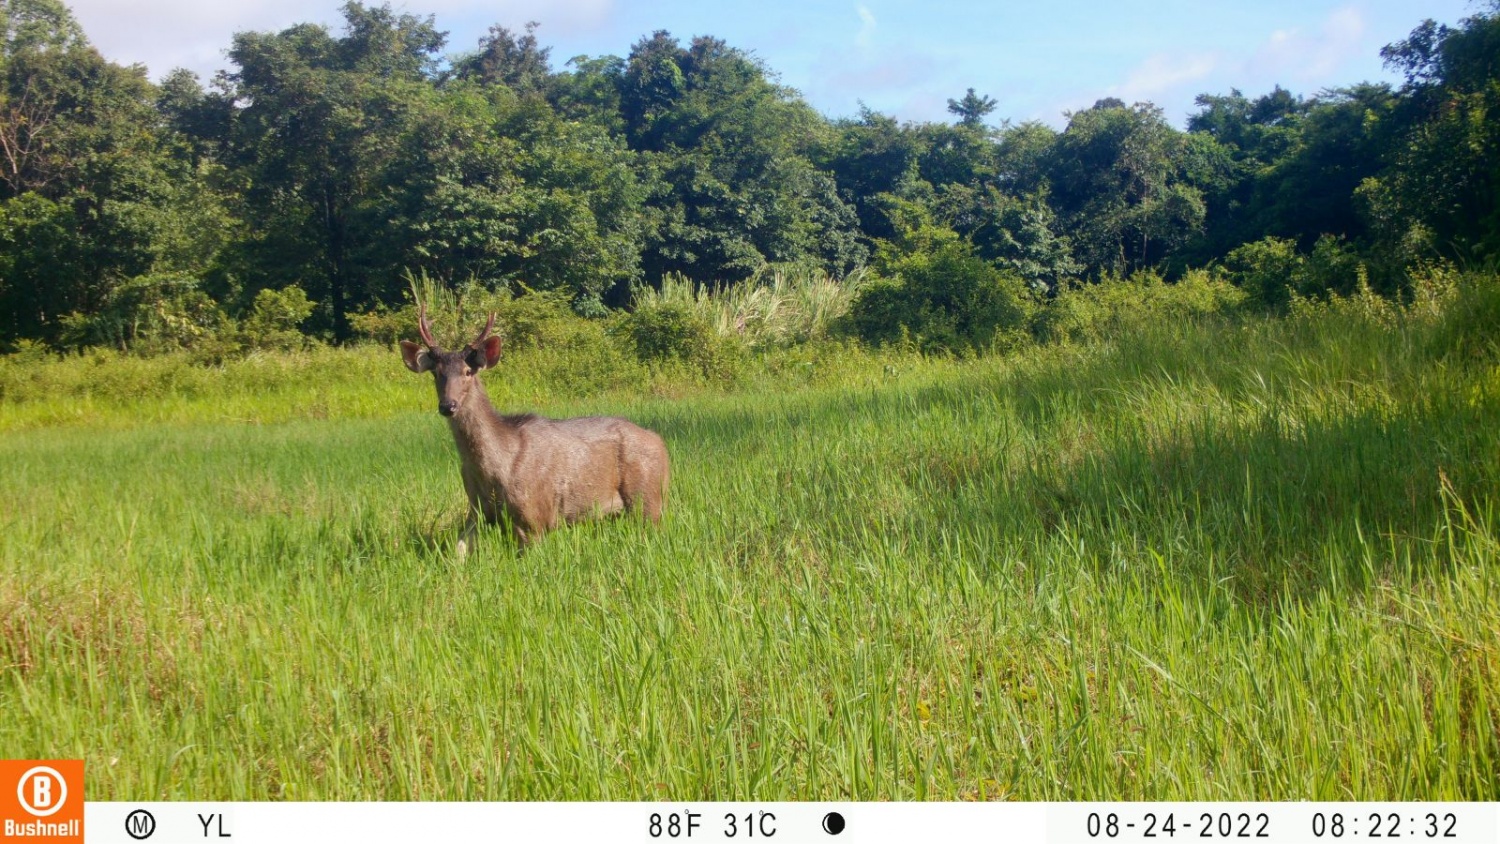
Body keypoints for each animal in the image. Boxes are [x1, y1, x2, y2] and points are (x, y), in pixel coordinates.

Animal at [399, 305, 669, 554]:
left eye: (468, 371)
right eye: (436, 373)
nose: (448, 405)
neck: (495, 467)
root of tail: (660, 442)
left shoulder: (534, 517)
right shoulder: (477, 511)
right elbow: (458, 552)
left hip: (647, 495)